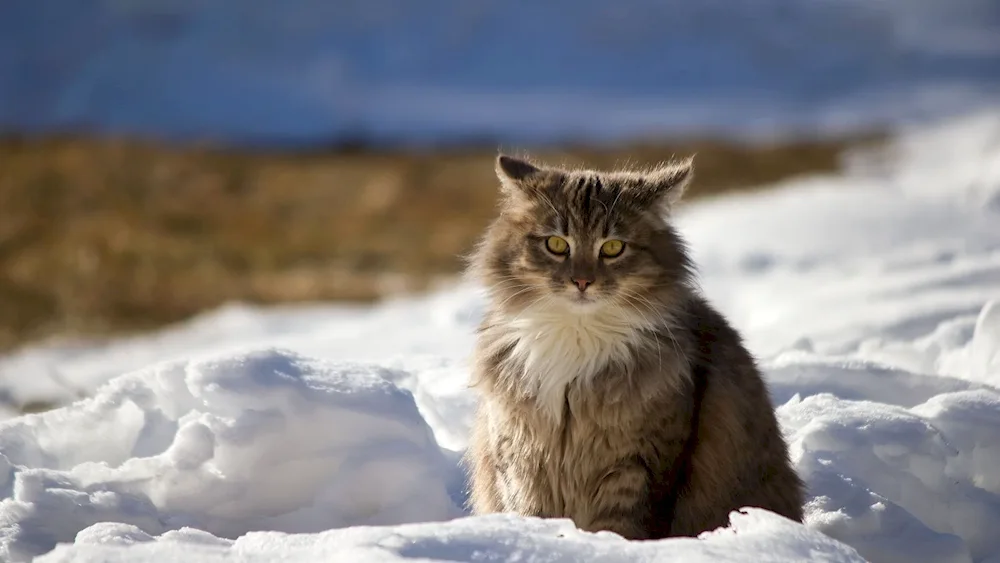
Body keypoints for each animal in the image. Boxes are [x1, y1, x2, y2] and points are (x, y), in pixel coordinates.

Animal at [462, 152, 804, 540]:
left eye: (613, 248)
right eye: (557, 245)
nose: (582, 281)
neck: (577, 336)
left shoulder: (641, 463)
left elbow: (621, 527)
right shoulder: (520, 458)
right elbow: (530, 513)